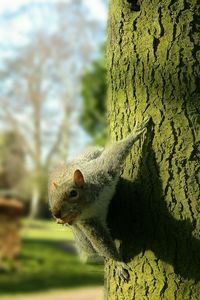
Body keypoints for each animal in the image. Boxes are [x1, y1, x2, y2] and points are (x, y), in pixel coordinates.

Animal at [48, 117, 148, 282]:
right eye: (53, 199)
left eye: (73, 193)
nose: (56, 213)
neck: (90, 204)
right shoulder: (88, 222)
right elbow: (101, 242)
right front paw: (118, 262)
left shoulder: (103, 171)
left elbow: (114, 154)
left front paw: (134, 133)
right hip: (80, 235)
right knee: (90, 247)